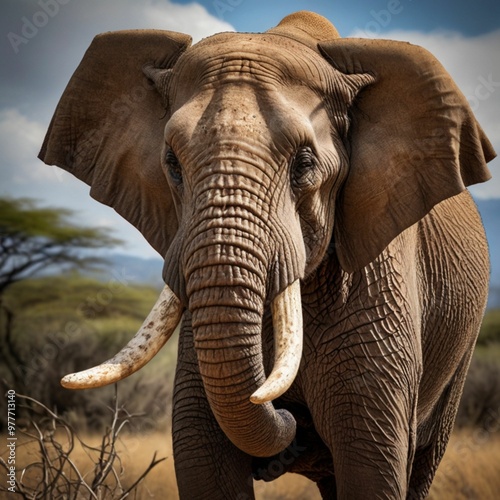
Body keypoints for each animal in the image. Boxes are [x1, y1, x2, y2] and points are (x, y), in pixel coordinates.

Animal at [37, 9, 494, 498]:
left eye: (305, 164)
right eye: (172, 163)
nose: (290, 417)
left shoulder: (380, 286)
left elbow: (372, 465)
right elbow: (203, 458)